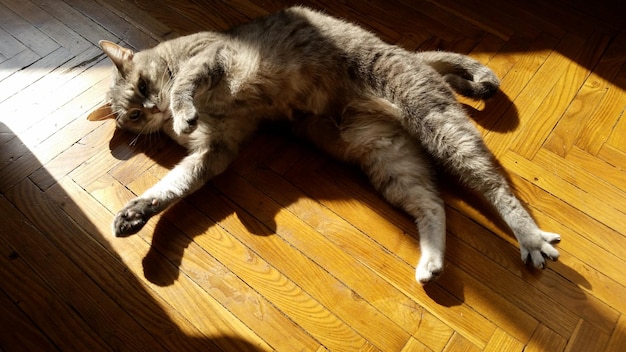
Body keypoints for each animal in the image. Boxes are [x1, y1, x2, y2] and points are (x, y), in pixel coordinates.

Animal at [89, 5, 560, 284]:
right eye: (132, 115)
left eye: (143, 86)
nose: (151, 108)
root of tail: (409, 55)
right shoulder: (215, 150)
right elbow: (170, 188)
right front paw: (134, 215)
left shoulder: (213, 57)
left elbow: (186, 82)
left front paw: (181, 108)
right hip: (390, 161)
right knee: (433, 203)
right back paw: (431, 262)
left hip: (436, 121)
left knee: (495, 186)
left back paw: (530, 238)